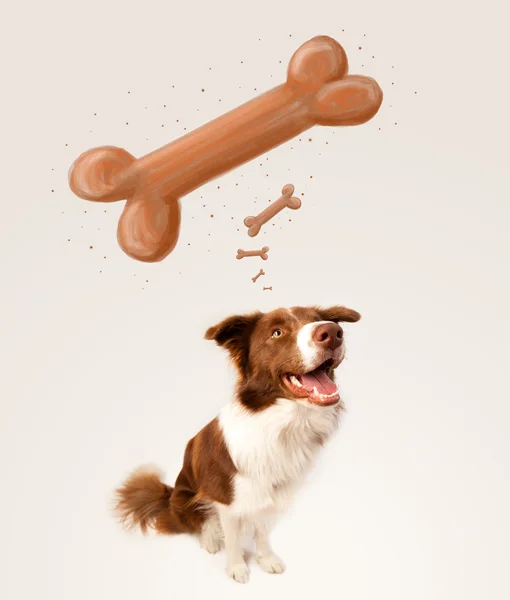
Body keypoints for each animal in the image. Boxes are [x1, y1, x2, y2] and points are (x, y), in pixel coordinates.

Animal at [115, 304, 362, 580]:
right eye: (277, 332)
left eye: (318, 320)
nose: (332, 332)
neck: (282, 424)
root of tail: (168, 496)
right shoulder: (225, 498)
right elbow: (232, 537)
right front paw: (236, 568)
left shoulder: (271, 492)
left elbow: (262, 531)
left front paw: (266, 559)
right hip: (183, 498)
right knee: (201, 521)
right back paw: (210, 538)